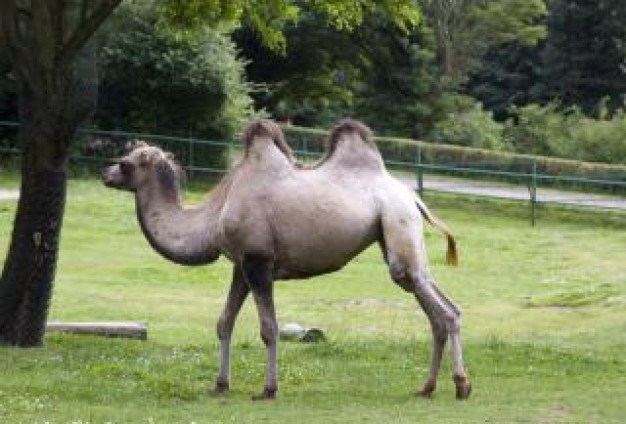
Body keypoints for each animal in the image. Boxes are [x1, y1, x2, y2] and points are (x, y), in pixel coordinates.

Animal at [101, 119, 468, 400]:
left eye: (125, 163)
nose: (106, 174)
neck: (213, 215)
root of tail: (413, 197)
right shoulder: (240, 266)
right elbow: (224, 322)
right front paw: (220, 384)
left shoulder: (258, 262)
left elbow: (269, 328)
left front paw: (268, 389)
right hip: (401, 235)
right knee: (439, 306)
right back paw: (427, 387)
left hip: (397, 223)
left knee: (440, 308)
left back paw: (461, 385)